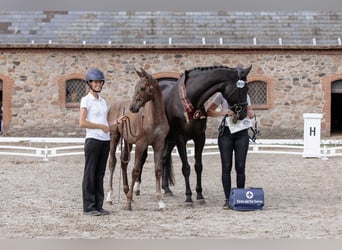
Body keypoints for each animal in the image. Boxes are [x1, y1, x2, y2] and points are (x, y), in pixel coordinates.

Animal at [106, 67, 170, 210]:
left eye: (142, 88)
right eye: (135, 87)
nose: (132, 108)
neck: (154, 118)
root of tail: (114, 105)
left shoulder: (159, 145)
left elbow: (158, 170)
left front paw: (161, 202)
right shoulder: (141, 144)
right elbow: (135, 170)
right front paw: (128, 202)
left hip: (128, 142)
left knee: (123, 163)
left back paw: (125, 191)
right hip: (114, 136)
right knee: (112, 162)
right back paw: (110, 197)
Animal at [136, 64, 251, 205]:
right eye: (245, 89)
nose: (244, 113)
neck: (190, 100)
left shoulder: (199, 138)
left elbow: (198, 166)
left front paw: (200, 195)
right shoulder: (181, 139)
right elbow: (186, 168)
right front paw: (189, 197)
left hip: (169, 140)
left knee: (164, 158)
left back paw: (167, 189)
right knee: (142, 158)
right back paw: (137, 188)